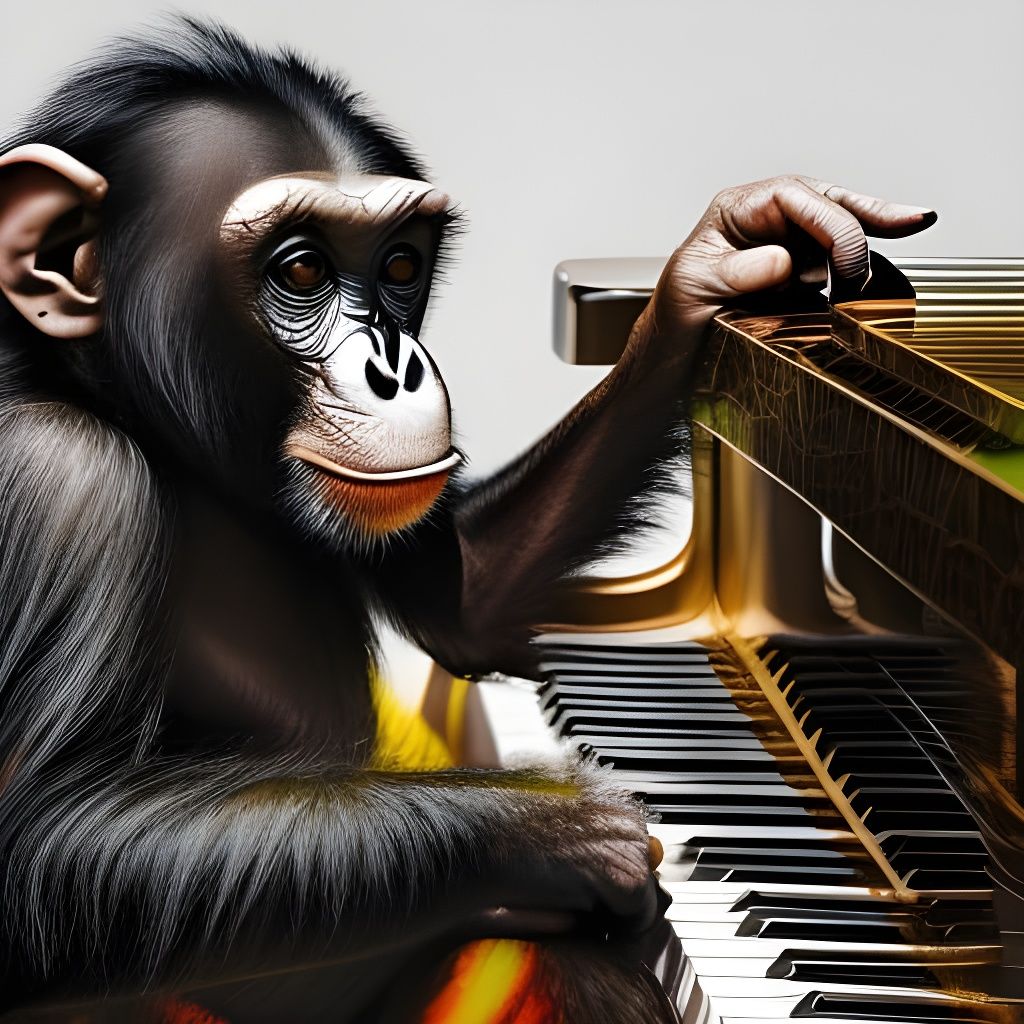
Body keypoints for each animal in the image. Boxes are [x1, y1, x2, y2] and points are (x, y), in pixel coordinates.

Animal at [0, 17, 936, 1022]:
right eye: (303, 267)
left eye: (401, 265)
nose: (396, 364)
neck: (148, 427)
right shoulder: (60, 485)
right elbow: (51, 852)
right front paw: (569, 831)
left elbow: (467, 606)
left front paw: (727, 254)